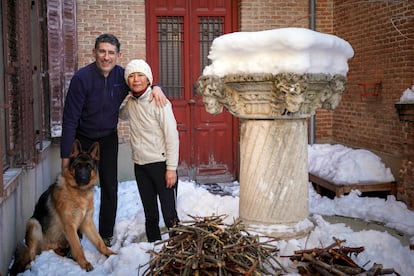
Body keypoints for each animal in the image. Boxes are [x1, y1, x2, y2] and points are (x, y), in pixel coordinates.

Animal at [10, 140, 116, 274]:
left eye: (88, 166)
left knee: (51, 249)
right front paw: (84, 263)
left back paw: (63, 251)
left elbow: (99, 242)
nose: (83, 178)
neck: (78, 192)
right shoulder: (70, 226)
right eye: (77, 166)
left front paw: (110, 254)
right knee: (33, 254)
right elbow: (78, 247)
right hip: (34, 223)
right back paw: (31, 265)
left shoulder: (87, 223)